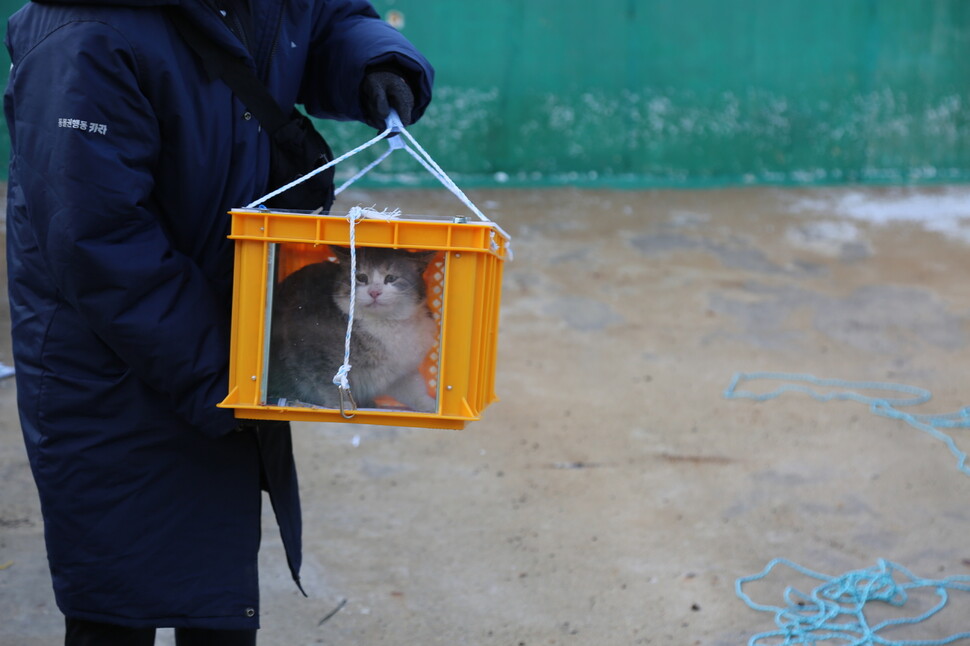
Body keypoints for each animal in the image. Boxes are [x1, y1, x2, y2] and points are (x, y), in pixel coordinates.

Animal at [270, 246, 440, 412]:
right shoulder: (313, 354)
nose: (374, 292)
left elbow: (414, 389)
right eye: (361, 277)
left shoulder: (400, 370)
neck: (383, 323)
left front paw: (431, 406)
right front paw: (338, 403)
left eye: (391, 278)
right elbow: (327, 382)